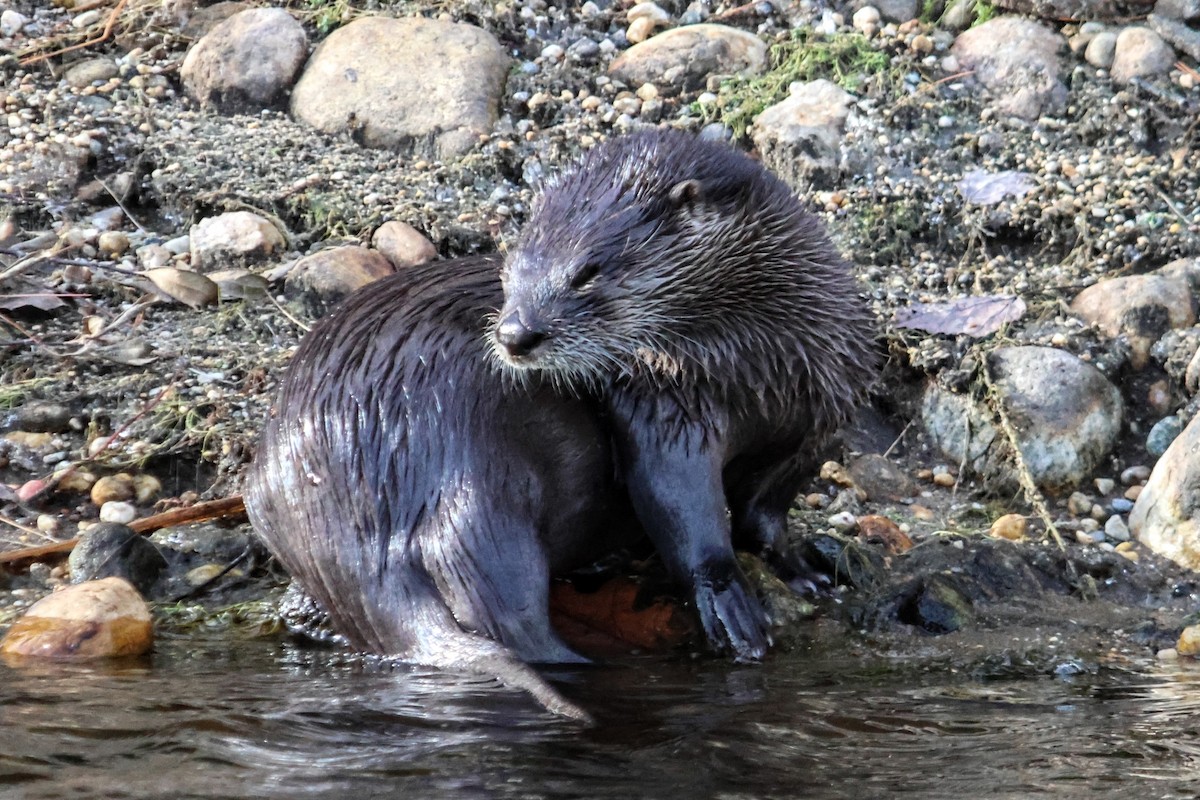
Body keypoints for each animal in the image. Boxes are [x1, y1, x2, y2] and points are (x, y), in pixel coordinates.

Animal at [244, 128, 876, 721]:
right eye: (510, 271)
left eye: (587, 273)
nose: (514, 333)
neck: (759, 367)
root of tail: (360, 515)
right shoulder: (663, 403)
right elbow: (682, 502)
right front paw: (727, 600)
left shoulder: (821, 411)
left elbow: (765, 509)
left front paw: (803, 571)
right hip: (473, 474)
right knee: (505, 606)